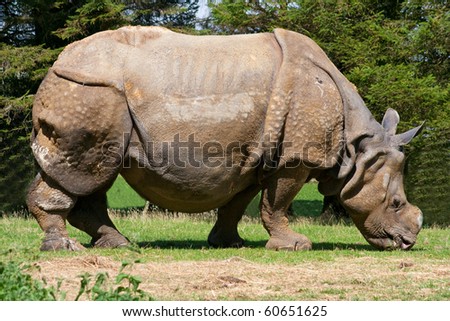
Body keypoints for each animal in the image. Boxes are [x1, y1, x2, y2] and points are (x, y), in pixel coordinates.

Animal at [27, 26, 422, 250]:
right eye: (396, 204)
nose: (407, 242)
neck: (358, 148)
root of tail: (56, 63)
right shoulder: (295, 158)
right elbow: (277, 203)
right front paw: (295, 246)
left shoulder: (254, 156)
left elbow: (239, 202)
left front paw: (229, 242)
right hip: (88, 92)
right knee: (83, 171)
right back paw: (65, 248)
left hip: (92, 95)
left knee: (93, 176)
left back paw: (117, 245)